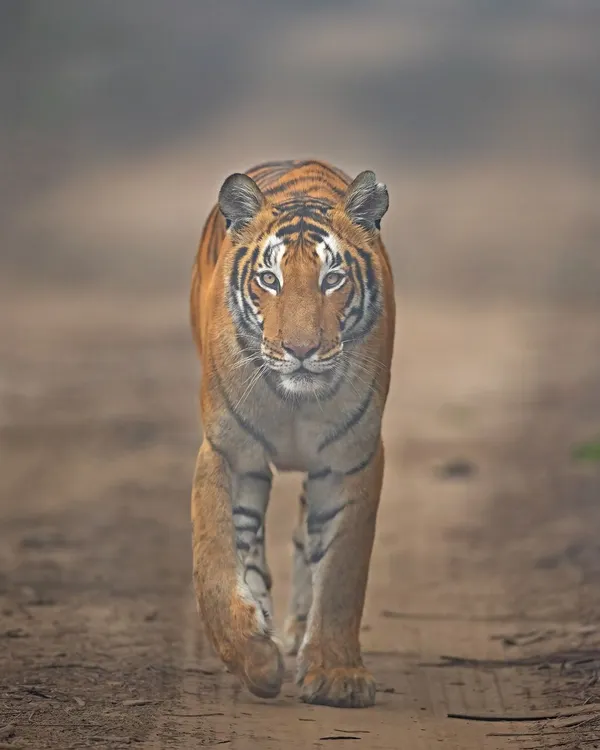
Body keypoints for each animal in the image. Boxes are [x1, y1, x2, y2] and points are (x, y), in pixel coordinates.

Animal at [190, 159, 395, 708]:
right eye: (269, 279)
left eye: (333, 278)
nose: (301, 350)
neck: (294, 399)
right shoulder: (227, 450)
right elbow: (215, 556)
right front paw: (253, 658)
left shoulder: (352, 459)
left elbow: (342, 570)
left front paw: (337, 674)